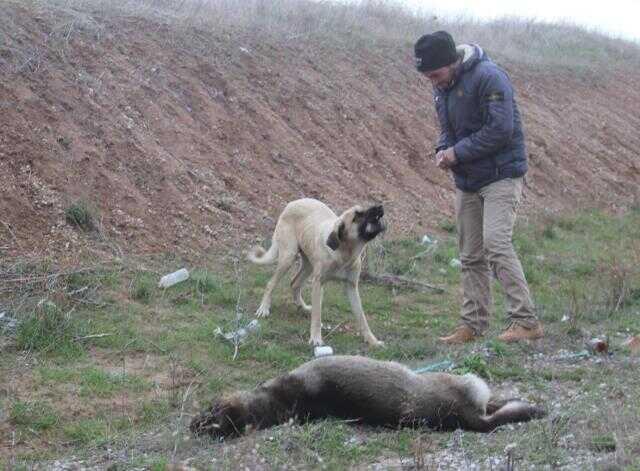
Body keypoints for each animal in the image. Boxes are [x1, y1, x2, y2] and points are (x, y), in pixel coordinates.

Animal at [248, 197, 382, 348]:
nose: (380, 207)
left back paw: (303, 307)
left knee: (294, 283)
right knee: (271, 283)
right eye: (357, 216)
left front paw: (372, 340)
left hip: (308, 265)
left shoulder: (352, 287)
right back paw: (264, 308)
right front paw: (316, 338)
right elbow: (317, 316)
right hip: (288, 258)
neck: (344, 253)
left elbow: (362, 318)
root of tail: (292, 203)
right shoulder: (318, 283)